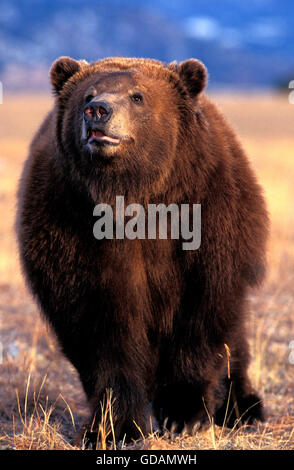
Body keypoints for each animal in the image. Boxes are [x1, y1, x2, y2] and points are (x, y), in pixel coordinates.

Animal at [16, 56, 268, 444]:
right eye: (87, 93)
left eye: (137, 96)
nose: (98, 110)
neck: (133, 196)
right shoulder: (70, 231)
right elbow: (100, 331)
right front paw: (111, 426)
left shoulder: (206, 217)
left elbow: (200, 315)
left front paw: (183, 415)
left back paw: (243, 407)